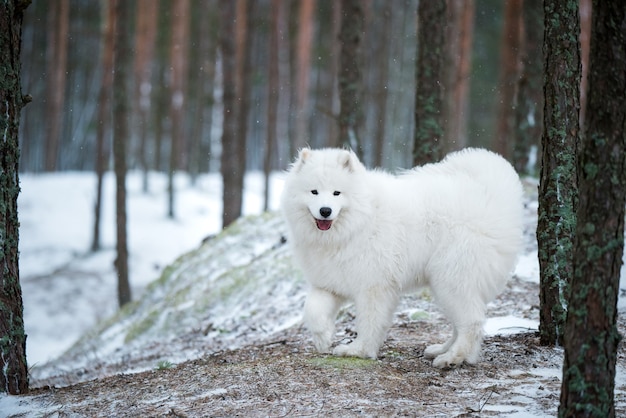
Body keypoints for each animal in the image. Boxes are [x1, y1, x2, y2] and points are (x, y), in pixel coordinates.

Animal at [280, 146, 520, 366]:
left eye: (336, 193)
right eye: (314, 192)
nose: (325, 211)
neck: (358, 223)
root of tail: (487, 192)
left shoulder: (374, 286)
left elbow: (369, 321)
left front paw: (359, 350)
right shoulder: (330, 282)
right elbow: (312, 309)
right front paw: (323, 338)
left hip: (452, 279)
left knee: (472, 322)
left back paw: (452, 358)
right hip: (444, 285)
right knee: (460, 324)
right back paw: (443, 350)